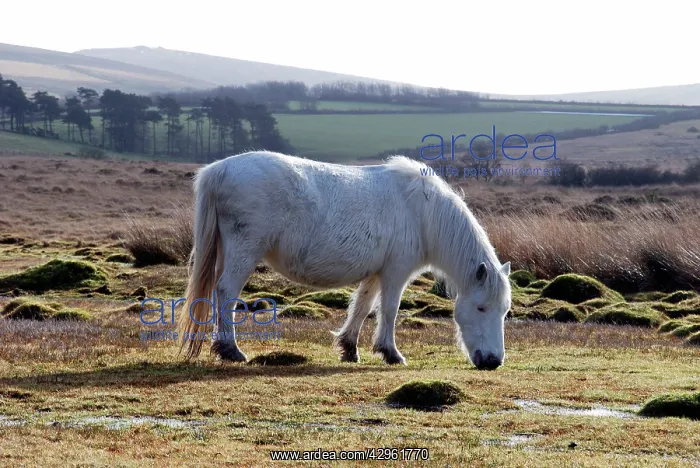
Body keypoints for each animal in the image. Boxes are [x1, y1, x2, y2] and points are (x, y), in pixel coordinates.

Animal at [177, 151, 512, 370]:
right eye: (481, 308)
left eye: (504, 311)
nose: (493, 361)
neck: (422, 210)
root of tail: (219, 170)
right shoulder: (396, 272)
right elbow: (389, 310)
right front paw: (391, 353)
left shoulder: (376, 273)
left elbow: (362, 307)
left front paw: (349, 348)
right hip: (244, 252)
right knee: (226, 292)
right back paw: (231, 350)